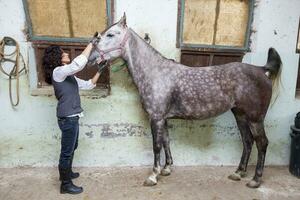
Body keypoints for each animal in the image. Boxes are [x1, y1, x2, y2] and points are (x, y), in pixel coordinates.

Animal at [88, 14, 282, 189]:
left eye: (110, 34)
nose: (91, 58)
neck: (156, 72)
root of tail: (262, 70)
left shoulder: (156, 118)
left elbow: (156, 146)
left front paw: (153, 175)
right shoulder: (163, 118)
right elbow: (166, 141)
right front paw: (166, 169)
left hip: (255, 118)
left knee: (262, 143)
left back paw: (255, 180)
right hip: (240, 115)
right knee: (248, 142)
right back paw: (239, 173)